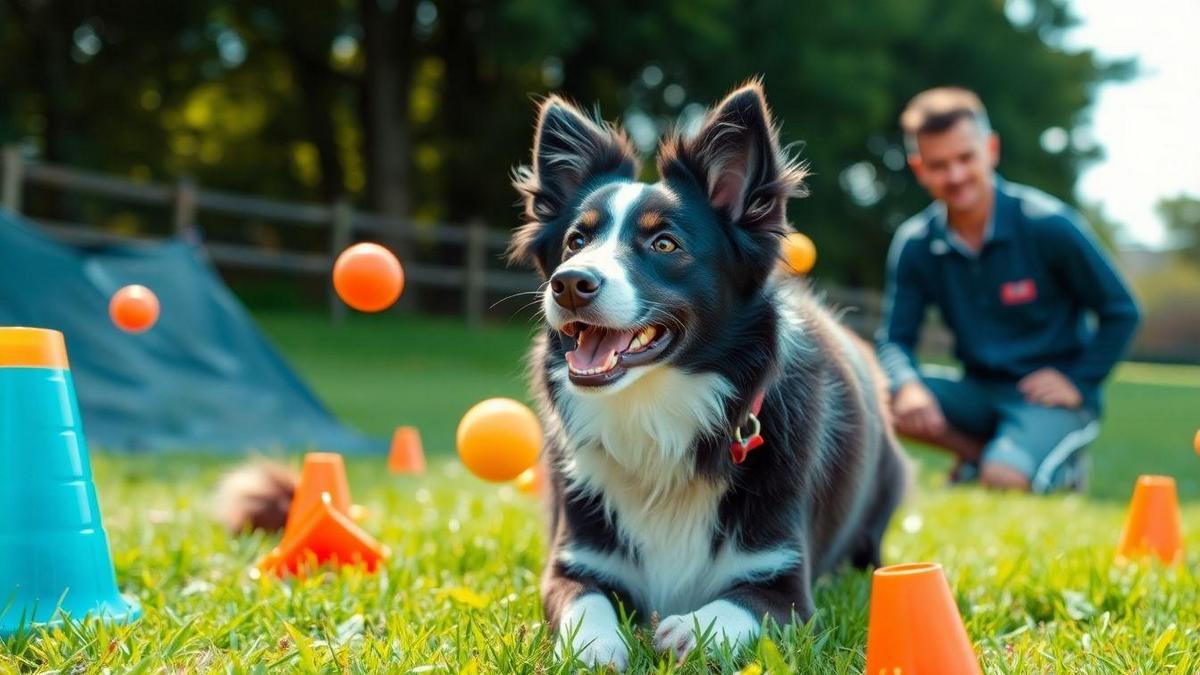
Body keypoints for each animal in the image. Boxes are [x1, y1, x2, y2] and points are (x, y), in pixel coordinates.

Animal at [506, 81, 907, 662]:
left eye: (664, 243)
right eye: (576, 241)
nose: (569, 283)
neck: (656, 418)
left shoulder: (785, 585)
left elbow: (741, 606)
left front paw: (693, 629)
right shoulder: (574, 562)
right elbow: (585, 602)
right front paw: (595, 646)